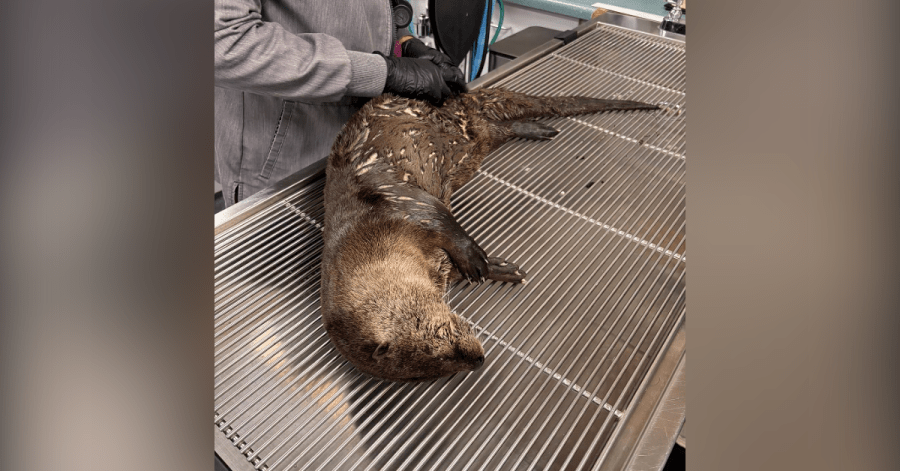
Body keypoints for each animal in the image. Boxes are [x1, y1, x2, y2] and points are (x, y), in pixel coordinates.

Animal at [320, 88, 658, 382]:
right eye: (423, 374)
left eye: (438, 336)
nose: (478, 360)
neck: (370, 236)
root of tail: (455, 108)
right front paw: (502, 269)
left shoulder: (400, 201)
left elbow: (444, 222)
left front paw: (479, 262)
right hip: (476, 143)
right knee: (495, 130)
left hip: (464, 128)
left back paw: (537, 129)